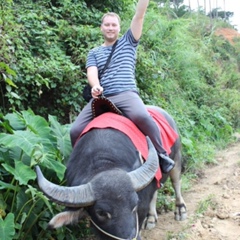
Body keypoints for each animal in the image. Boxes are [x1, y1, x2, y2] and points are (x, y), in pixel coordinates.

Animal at [35, 103, 187, 240]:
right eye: (101, 213)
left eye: (135, 204)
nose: (130, 238)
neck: (103, 164)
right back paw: (151, 218)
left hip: (177, 157)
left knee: (176, 182)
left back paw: (180, 210)